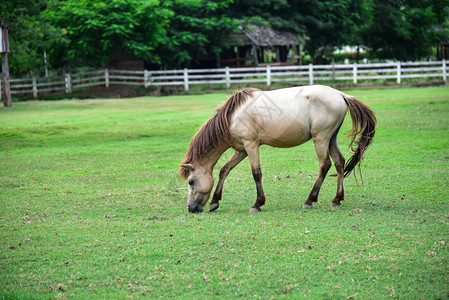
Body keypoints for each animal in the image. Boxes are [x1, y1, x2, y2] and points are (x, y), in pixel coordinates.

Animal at [178, 84, 374, 213]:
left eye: (191, 182)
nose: (191, 208)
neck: (232, 117)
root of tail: (341, 94)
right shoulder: (241, 149)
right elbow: (224, 170)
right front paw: (215, 202)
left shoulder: (251, 145)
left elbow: (256, 173)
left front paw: (257, 204)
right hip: (331, 139)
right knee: (339, 163)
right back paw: (337, 199)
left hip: (321, 138)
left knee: (324, 165)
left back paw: (309, 200)